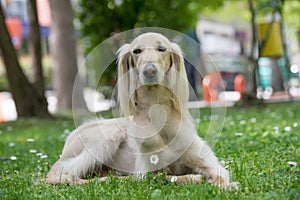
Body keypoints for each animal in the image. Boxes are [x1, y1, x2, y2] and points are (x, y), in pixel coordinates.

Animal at [45, 32, 237, 189]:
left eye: (162, 49)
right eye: (137, 51)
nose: (149, 71)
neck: (157, 115)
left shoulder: (203, 159)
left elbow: (218, 172)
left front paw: (226, 186)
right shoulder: (149, 172)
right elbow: (164, 177)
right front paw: (194, 178)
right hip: (107, 135)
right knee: (64, 176)